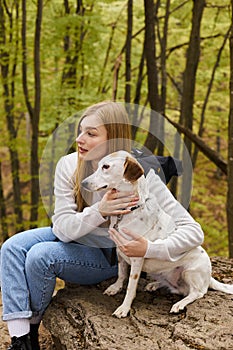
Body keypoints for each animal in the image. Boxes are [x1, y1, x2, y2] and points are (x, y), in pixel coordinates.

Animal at [81, 150, 233, 318]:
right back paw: (155, 285)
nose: (83, 183)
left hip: (190, 272)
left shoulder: (136, 258)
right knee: (177, 288)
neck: (128, 211)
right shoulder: (120, 252)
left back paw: (179, 304)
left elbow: (130, 286)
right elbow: (121, 274)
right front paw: (116, 287)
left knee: (197, 293)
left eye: (106, 167)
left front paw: (124, 308)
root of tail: (209, 276)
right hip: (163, 273)